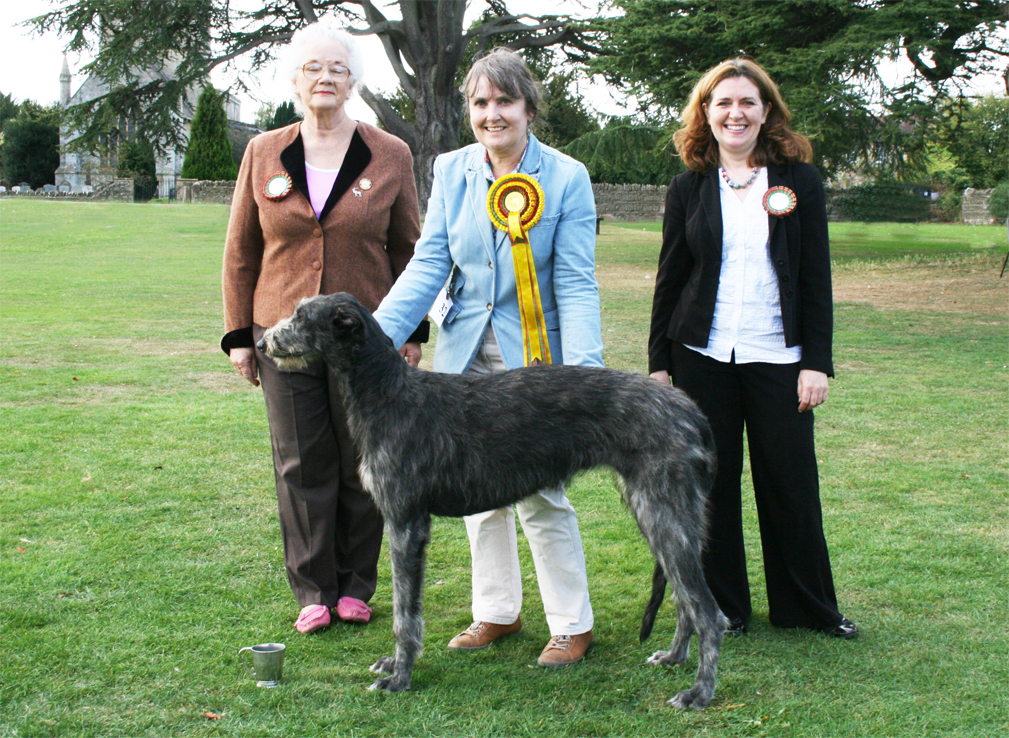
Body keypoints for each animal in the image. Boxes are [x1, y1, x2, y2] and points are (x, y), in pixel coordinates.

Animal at [260, 290, 730, 706]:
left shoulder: (406, 523)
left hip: (663, 512)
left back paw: (700, 692)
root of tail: (692, 412)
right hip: (660, 514)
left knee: (709, 613)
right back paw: (673, 658)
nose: (263, 343)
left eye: (301, 316)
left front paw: (400, 676)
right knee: (685, 600)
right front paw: (393, 665)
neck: (387, 393)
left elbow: (403, 612)